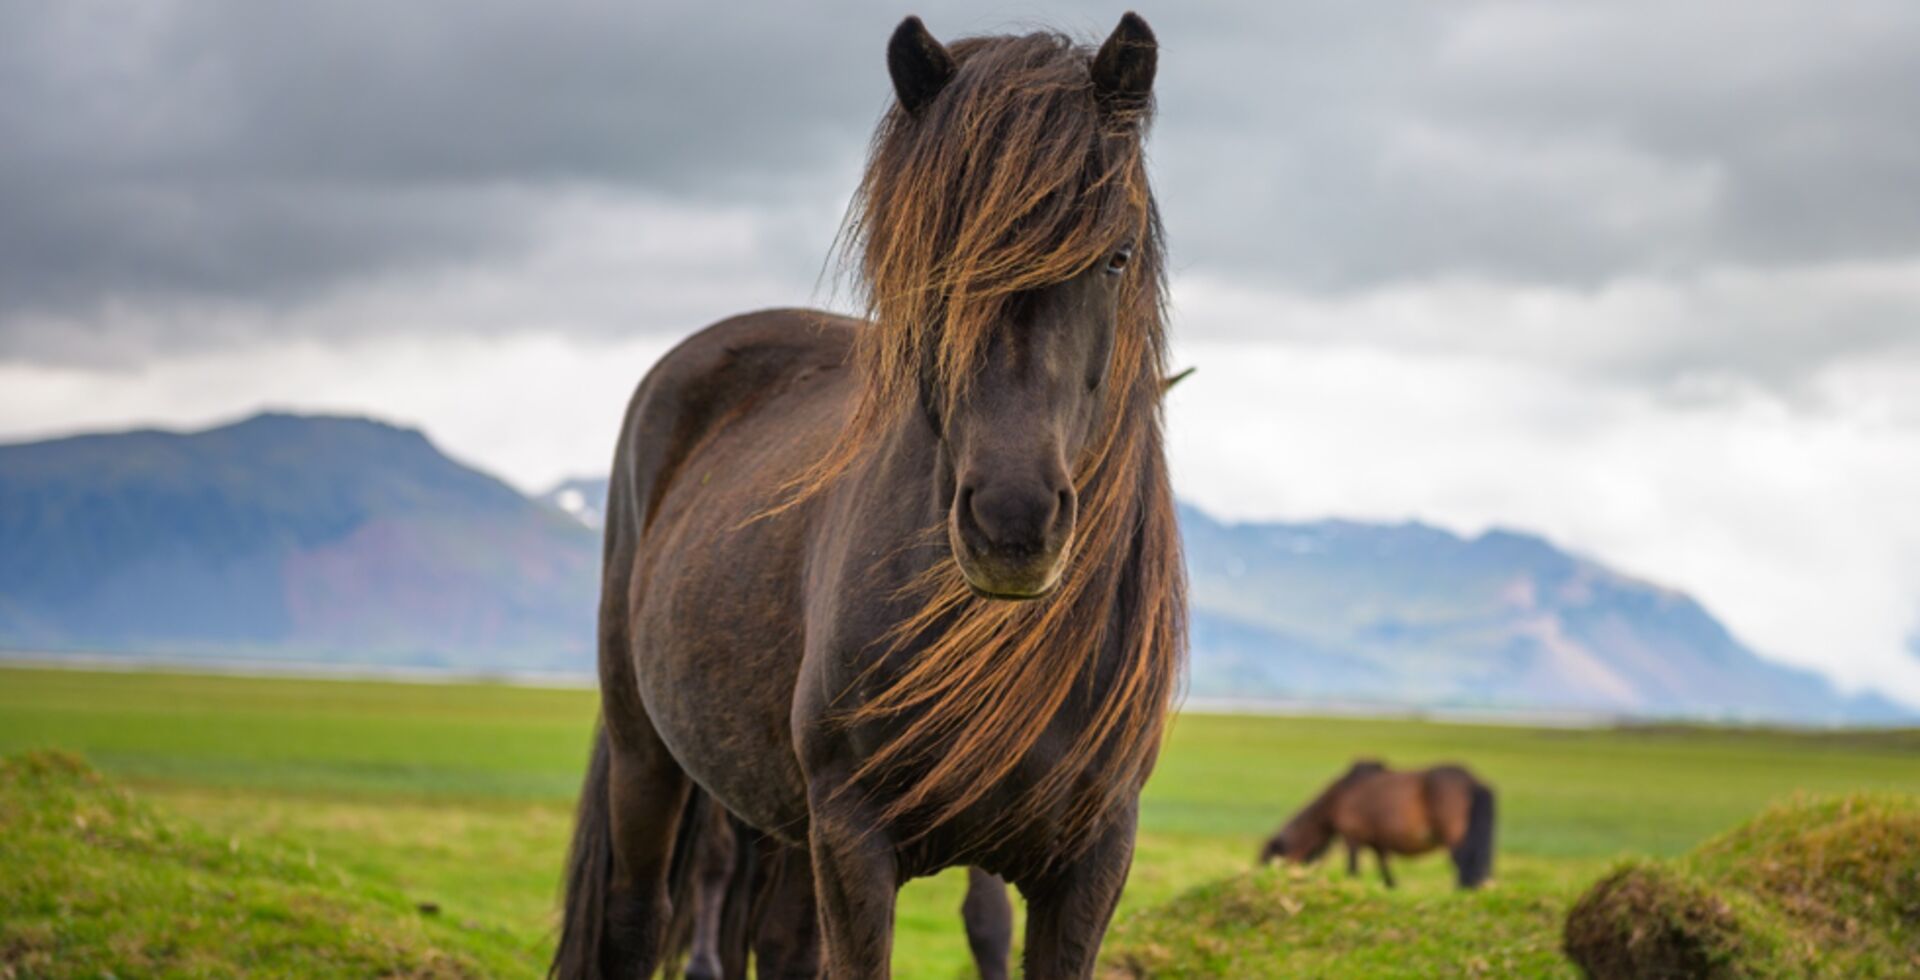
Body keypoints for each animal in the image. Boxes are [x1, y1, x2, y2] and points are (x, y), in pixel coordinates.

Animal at [552, 11, 1183, 979]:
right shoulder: (853, 843)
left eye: (1115, 257)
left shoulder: (1092, 855)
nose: (1012, 523)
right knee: (638, 915)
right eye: (933, 261)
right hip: (646, 758)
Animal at [1259, 761, 1496, 890]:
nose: (1266, 879)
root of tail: (1474, 781)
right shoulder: (1378, 842)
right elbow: (1387, 875)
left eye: (1269, 860)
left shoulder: (1352, 837)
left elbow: (1353, 870)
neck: (1338, 797)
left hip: (1453, 833)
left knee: (1464, 862)